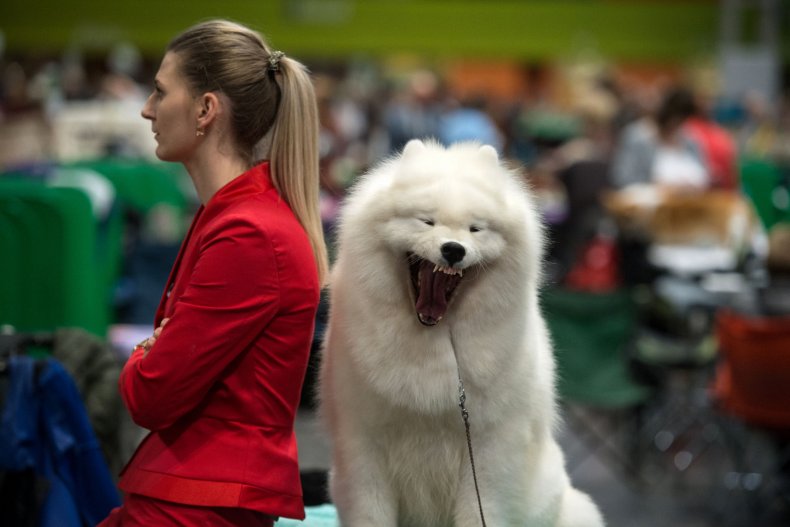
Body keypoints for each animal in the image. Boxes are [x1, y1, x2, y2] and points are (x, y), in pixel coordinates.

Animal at [318, 140, 608, 527]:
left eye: (475, 229)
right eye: (426, 221)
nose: (453, 249)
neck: (438, 338)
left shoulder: (488, 452)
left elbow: (480, 511)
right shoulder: (363, 444)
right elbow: (371, 513)